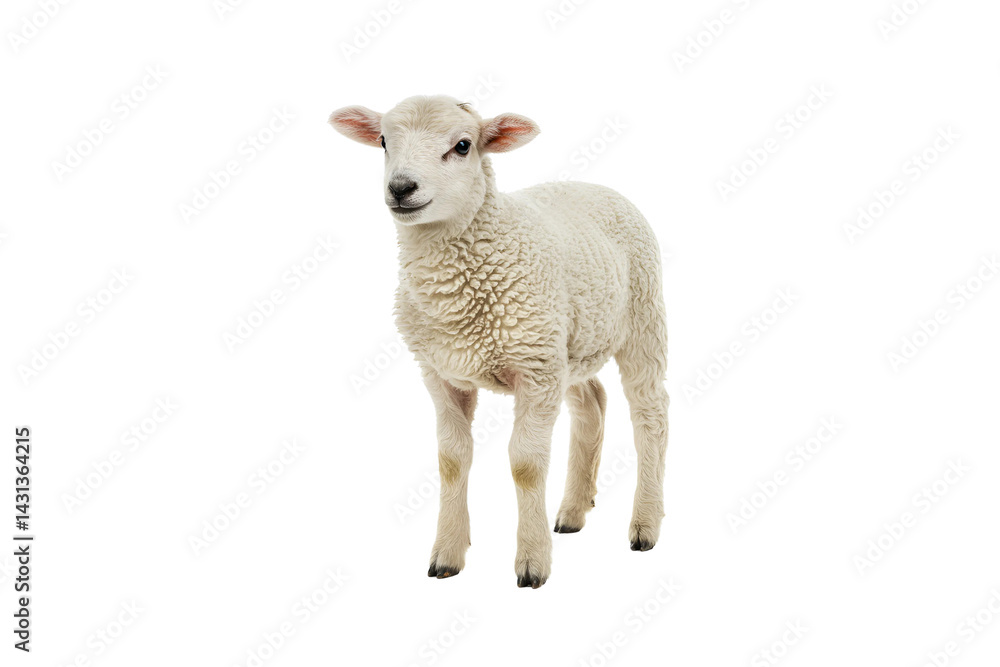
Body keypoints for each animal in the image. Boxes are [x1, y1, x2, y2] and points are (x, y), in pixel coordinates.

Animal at [329, 95, 669, 588]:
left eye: (463, 145)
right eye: (383, 141)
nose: (401, 187)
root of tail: (596, 185)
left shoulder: (535, 372)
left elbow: (525, 464)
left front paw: (532, 562)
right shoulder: (442, 373)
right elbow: (451, 460)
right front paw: (447, 555)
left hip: (642, 318)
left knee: (650, 416)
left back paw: (645, 524)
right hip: (568, 344)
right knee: (591, 404)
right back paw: (572, 511)